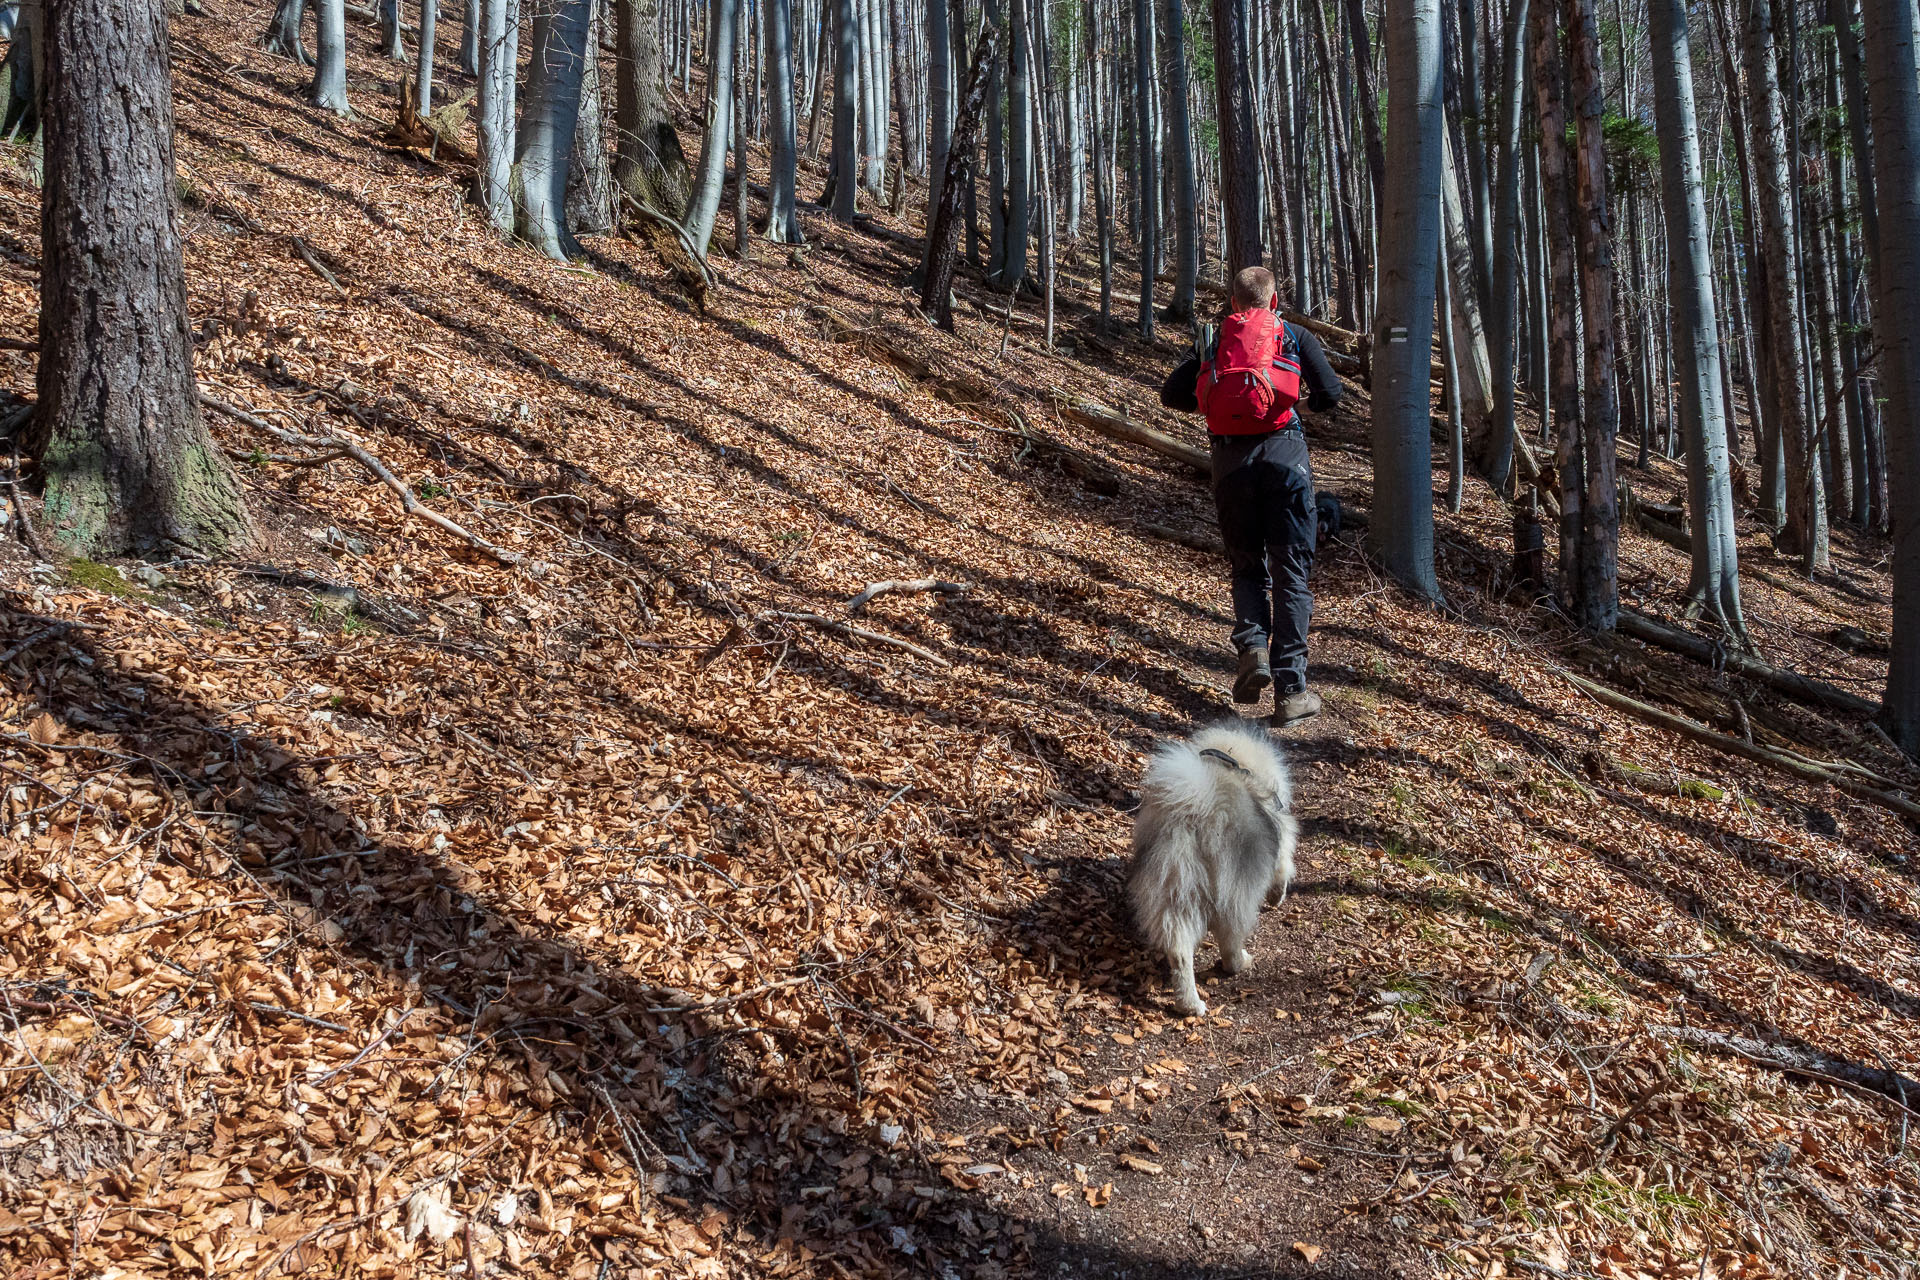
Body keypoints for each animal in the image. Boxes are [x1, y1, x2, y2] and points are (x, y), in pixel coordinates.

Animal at [1121, 725, 1305, 1013]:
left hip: (1175, 891)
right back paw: (1239, 963)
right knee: (1230, 941)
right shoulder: (1283, 840)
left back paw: (1189, 1005)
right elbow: (1283, 870)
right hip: (1237, 895)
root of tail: (1197, 811)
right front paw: (1278, 897)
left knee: (1180, 953)